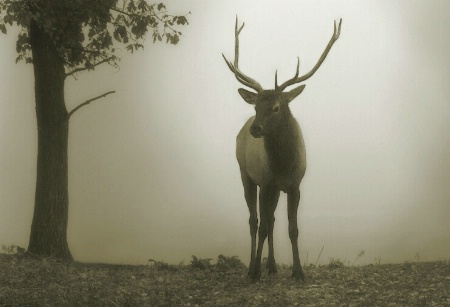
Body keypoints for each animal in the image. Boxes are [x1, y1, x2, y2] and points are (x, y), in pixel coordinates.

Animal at [223, 17, 342, 282]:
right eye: (256, 106)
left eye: (276, 107)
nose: (255, 128)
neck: (283, 166)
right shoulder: (266, 182)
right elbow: (263, 226)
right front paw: (255, 271)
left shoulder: (295, 185)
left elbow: (292, 228)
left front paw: (298, 272)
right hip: (246, 174)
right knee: (255, 221)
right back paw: (252, 267)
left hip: (274, 189)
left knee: (272, 219)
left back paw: (272, 265)